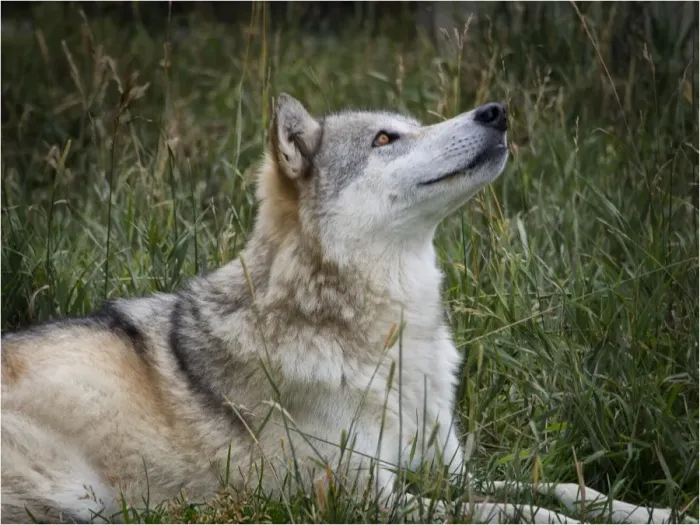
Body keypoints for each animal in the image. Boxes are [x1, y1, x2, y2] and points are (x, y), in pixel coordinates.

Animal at [1, 94, 690, 524]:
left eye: (414, 123)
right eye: (386, 139)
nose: (496, 111)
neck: (391, 344)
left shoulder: (445, 473)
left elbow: (566, 486)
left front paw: (660, 511)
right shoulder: (365, 501)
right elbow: (527, 510)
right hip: (84, 498)